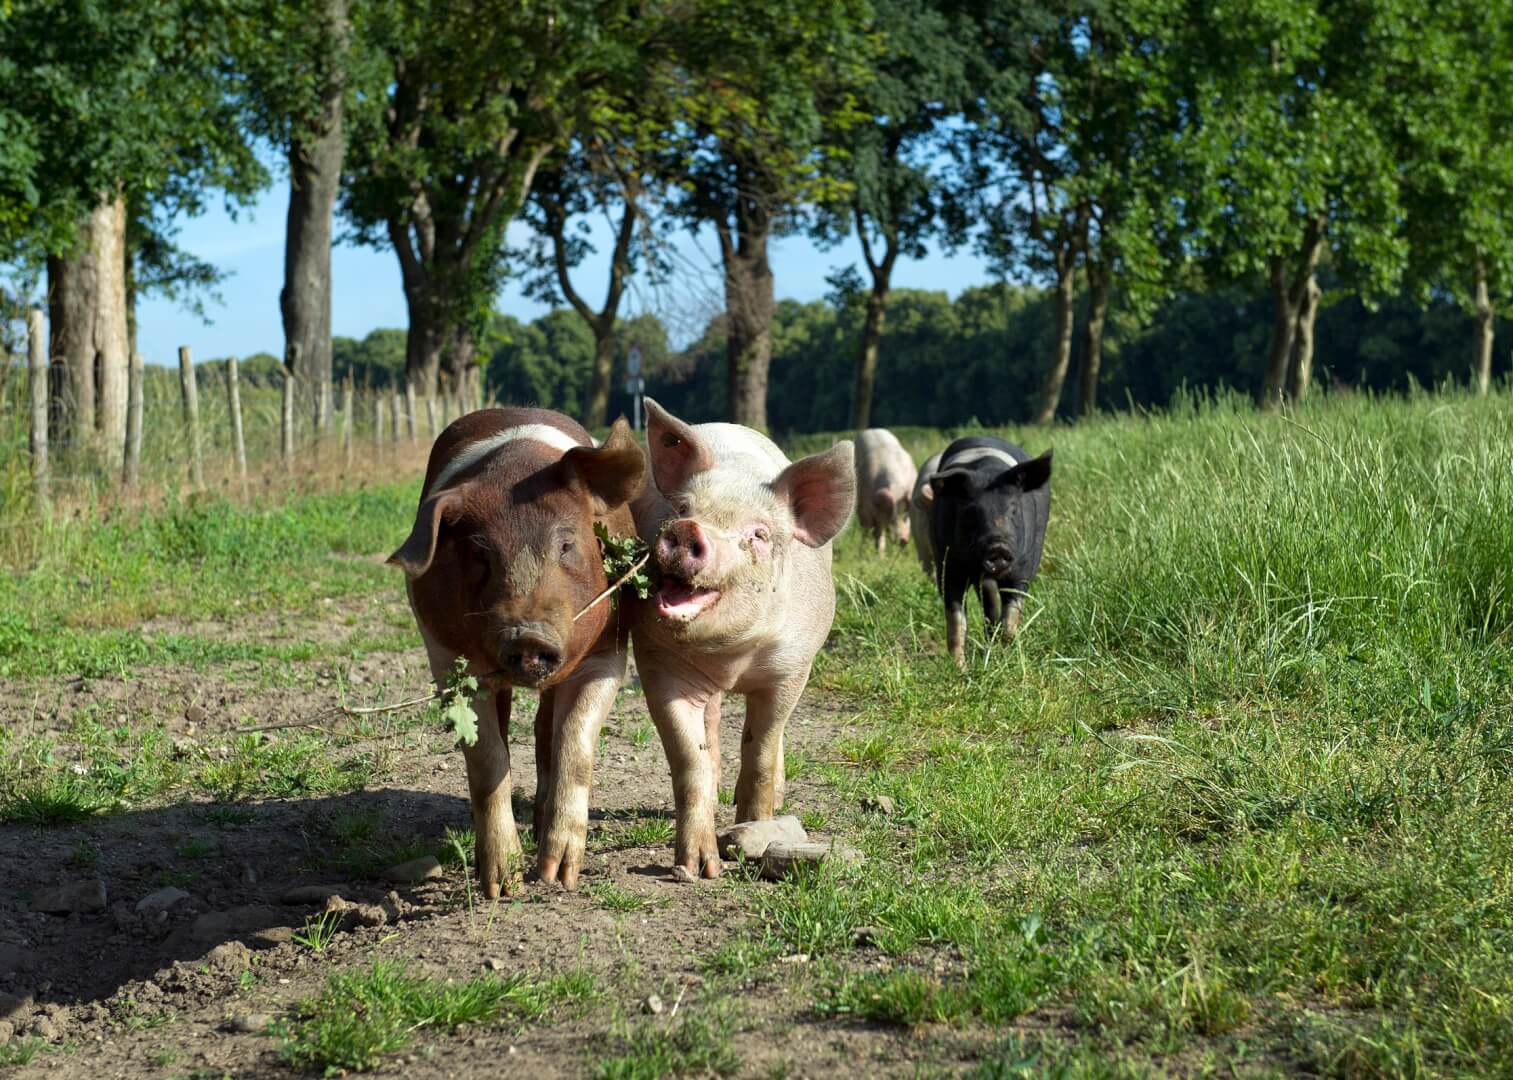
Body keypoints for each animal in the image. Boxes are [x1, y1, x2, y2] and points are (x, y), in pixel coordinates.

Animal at [390, 405, 644, 889]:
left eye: (566, 544)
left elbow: (575, 742)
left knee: (546, 730)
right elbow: (486, 757)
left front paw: (558, 875)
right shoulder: (448, 659)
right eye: (479, 554)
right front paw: (501, 883)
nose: (528, 635)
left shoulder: (608, 654)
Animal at [629, 396, 865, 877]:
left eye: (758, 534)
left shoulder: (792, 668)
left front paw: (751, 832)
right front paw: (696, 870)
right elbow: (689, 759)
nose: (687, 531)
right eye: (682, 509)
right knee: (713, 725)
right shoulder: (658, 662)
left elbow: (761, 750)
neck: (731, 657)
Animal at [919, 432, 1053, 659]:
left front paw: (1006, 654)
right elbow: (955, 619)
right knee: (988, 601)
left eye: (1013, 509)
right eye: (970, 512)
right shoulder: (948, 565)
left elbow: (1012, 613)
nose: (997, 546)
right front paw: (959, 665)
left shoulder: (1024, 568)